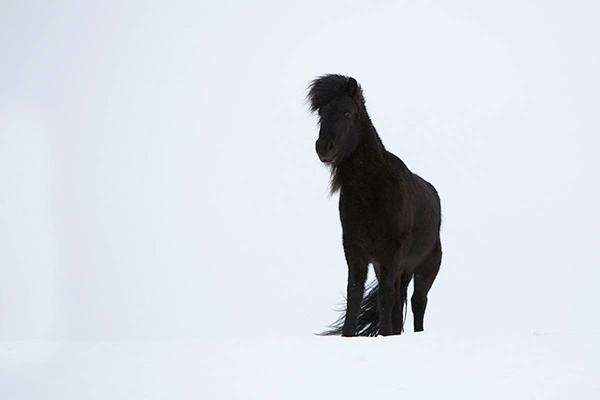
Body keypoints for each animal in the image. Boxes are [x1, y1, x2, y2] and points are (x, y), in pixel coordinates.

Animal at [310, 75, 440, 338]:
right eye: (322, 113)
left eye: (347, 112)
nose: (324, 148)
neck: (370, 191)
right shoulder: (356, 252)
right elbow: (354, 295)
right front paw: (349, 334)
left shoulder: (390, 255)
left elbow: (385, 299)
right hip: (400, 269)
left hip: (427, 267)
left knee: (418, 302)